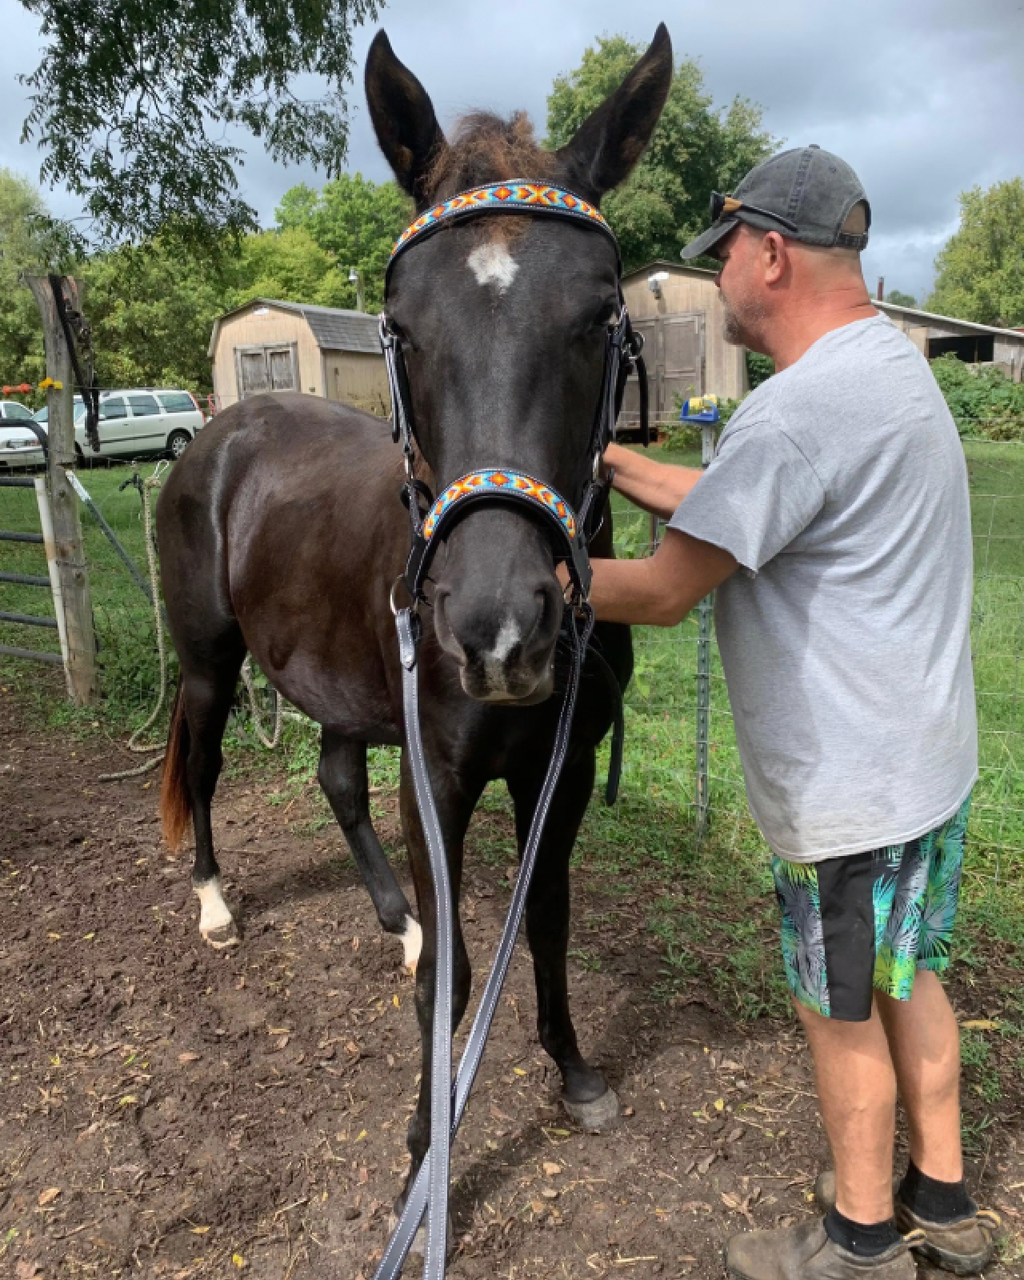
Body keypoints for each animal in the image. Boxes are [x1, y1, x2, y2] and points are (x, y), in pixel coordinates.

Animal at [156, 24, 673, 1215]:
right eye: (399, 324)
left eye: (601, 317)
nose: (498, 628)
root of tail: (214, 435)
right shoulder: (435, 773)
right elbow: (460, 966)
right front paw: (424, 1150)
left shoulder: (560, 767)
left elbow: (544, 917)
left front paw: (573, 1070)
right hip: (208, 662)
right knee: (202, 763)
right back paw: (212, 905)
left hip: (344, 685)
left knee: (334, 779)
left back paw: (393, 918)